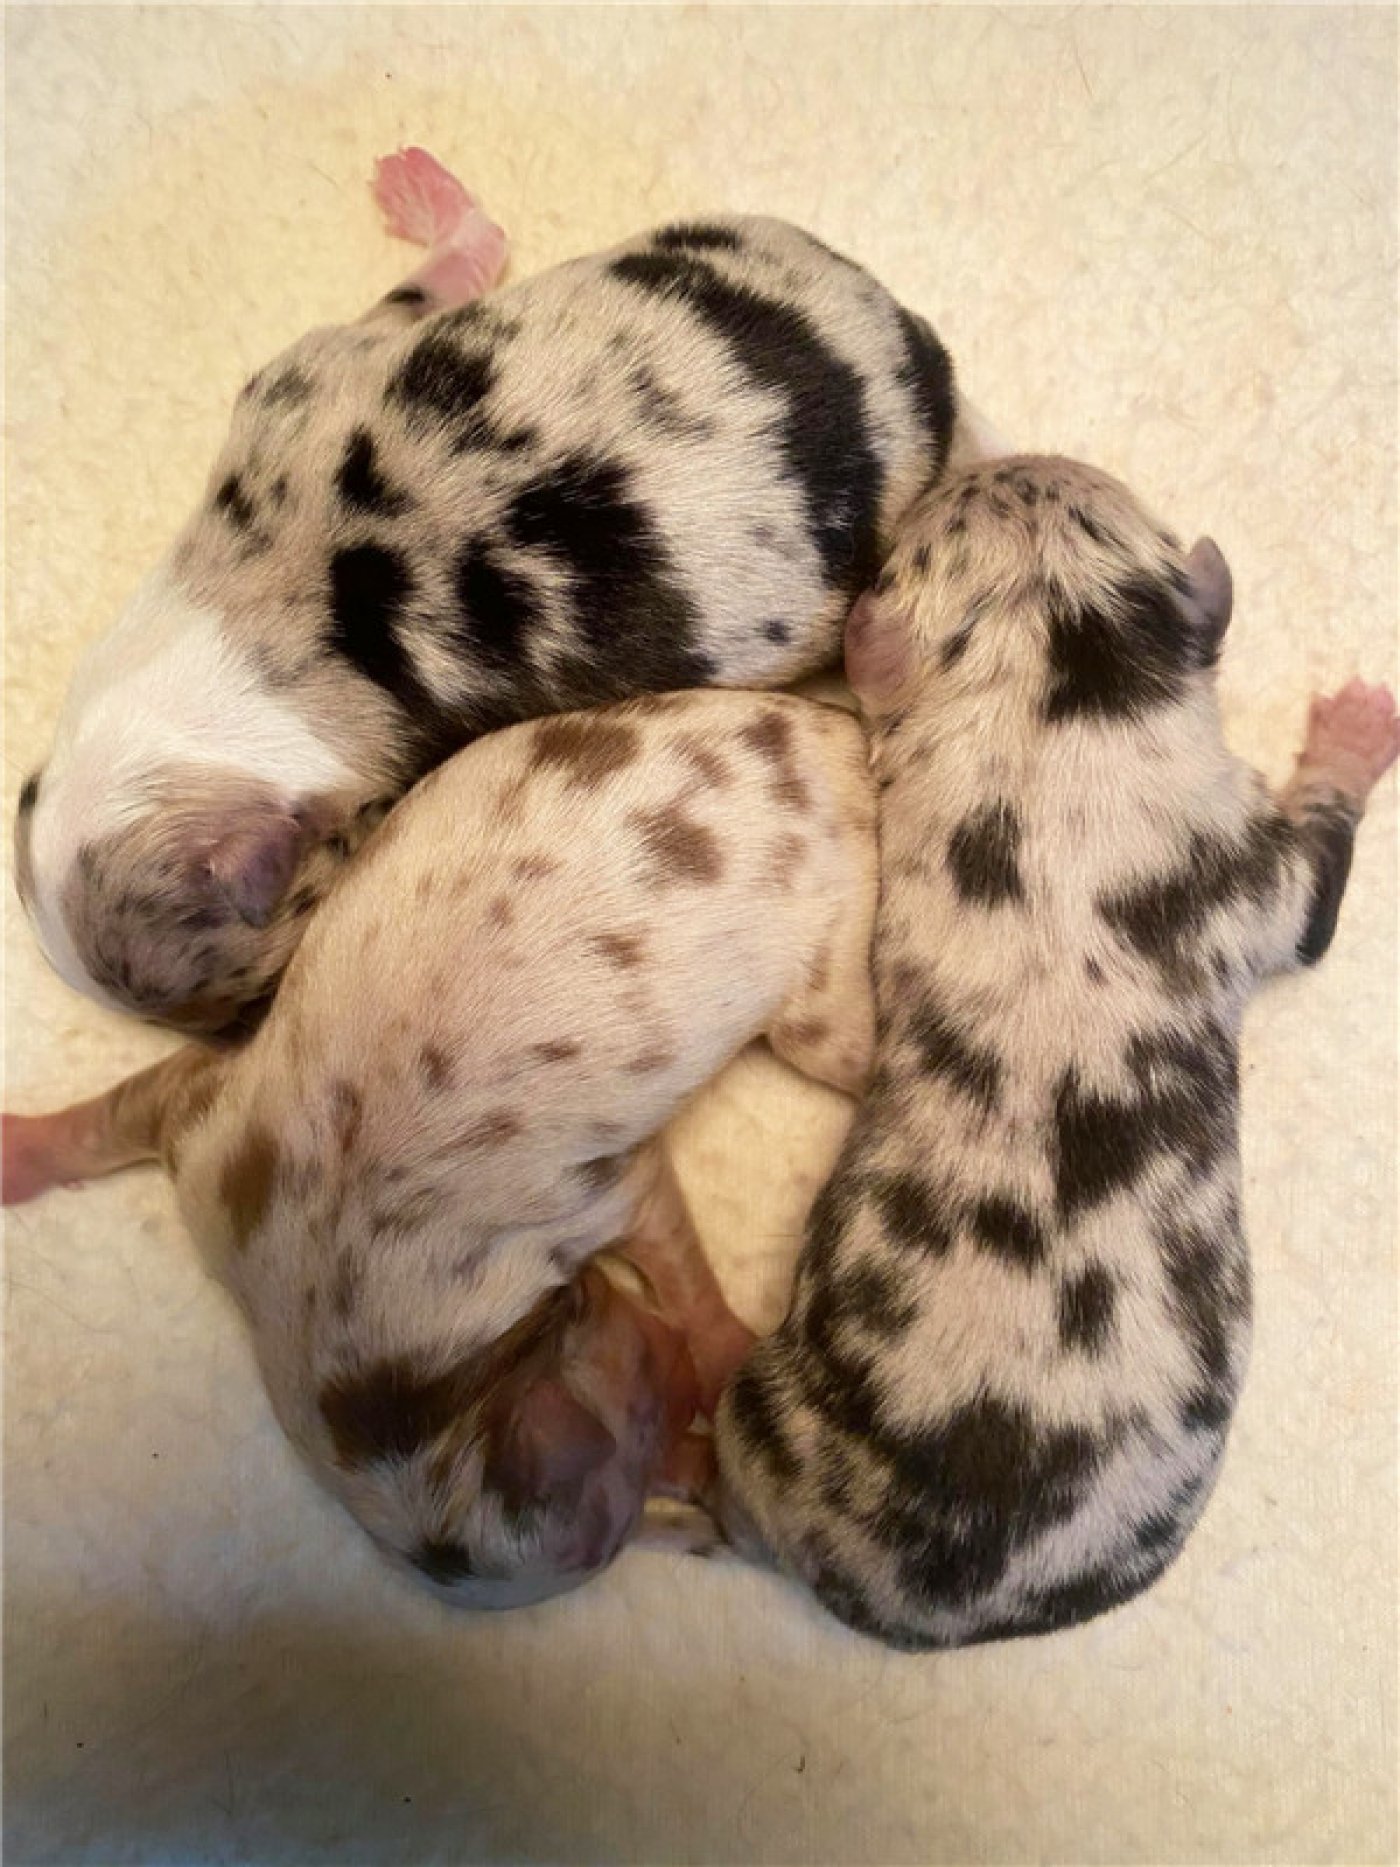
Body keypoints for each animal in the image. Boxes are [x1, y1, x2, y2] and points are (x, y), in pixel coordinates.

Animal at [5, 688, 878, 1608]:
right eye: (647, 1448)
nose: (712, 1487)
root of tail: (838, 731)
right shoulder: (204, 1123)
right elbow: (106, 1117)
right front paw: (16, 1152)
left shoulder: (596, 1194)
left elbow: (683, 1270)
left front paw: (726, 1349)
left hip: (825, 979)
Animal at [14, 146, 993, 1036]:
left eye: (267, 968)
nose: (230, 1034)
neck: (224, 647)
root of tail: (916, 350)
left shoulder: (302, 374)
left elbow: (412, 295)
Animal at [713, 455, 1399, 1648]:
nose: (1008, 459)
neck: (1058, 711)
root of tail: (921, 1600)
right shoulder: (1259, 866)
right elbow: (1317, 882)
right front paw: (1358, 731)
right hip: (755, 1413)